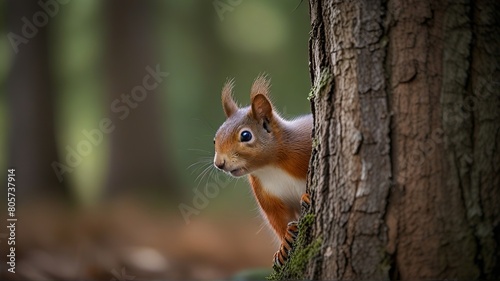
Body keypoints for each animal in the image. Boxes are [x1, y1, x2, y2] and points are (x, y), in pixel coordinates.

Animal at [213, 75, 310, 266]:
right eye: (215, 139)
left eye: (245, 135)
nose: (219, 163)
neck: (270, 167)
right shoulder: (266, 194)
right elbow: (278, 218)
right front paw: (284, 243)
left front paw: (307, 196)